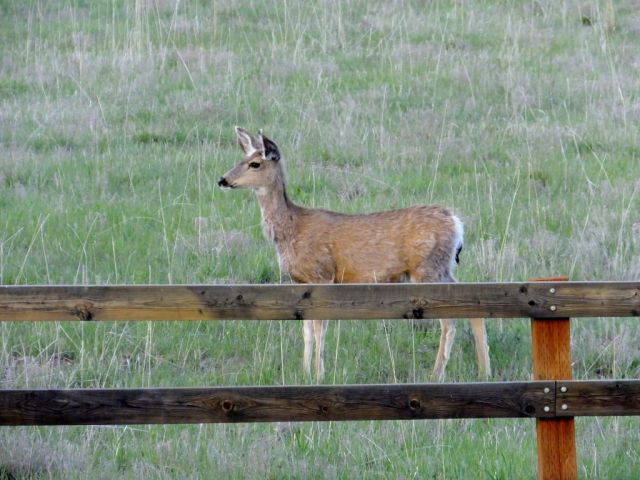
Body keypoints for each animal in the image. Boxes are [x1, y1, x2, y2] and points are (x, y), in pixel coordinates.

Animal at [218, 127, 491, 381]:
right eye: (242, 158)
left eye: (255, 163)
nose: (222, 180)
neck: (291, 229)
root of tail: (456, 223)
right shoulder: (300, 282)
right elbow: (306, 329)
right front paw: (304, 372)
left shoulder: (322, 275)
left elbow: (319, 327)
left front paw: (319, 373)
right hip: (442, 268)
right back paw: (484, 371)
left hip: (427, 269)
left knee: (449, 319)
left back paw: (437, 374)